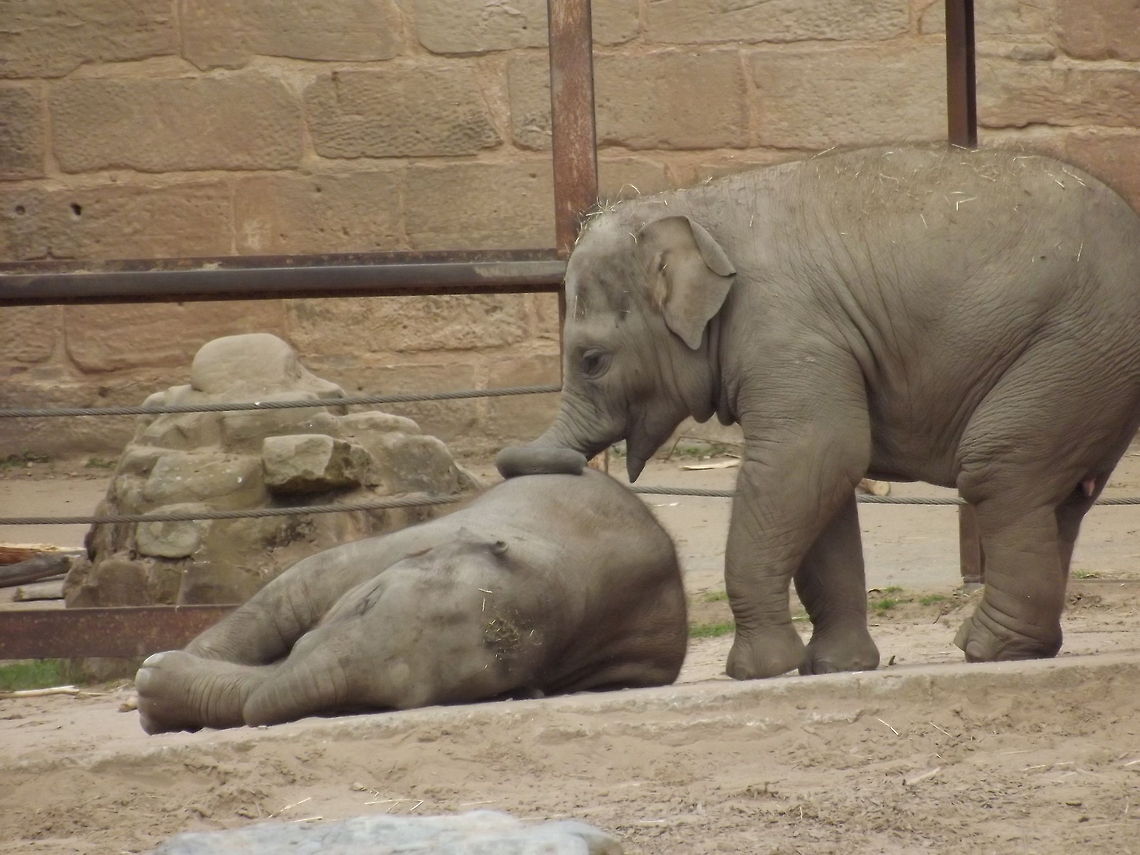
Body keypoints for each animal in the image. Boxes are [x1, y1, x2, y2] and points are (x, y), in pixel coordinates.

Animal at [135, 466, 686, 733]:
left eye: (385, 703)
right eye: (367, 602)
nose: (151, 670)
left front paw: (154, 682)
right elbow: (297, 588)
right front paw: (157, 676)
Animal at [496, 144, 1140, 680]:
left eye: (592, 361)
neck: (693, 205)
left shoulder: (786, 331)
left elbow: (813, 455)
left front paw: (755, 671)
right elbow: (826, 490)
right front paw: (836, 667)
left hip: (1076, 350)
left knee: (998, 471)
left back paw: (985, 650)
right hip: (1092, 374)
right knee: (1056, 494)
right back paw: (1024, 646)